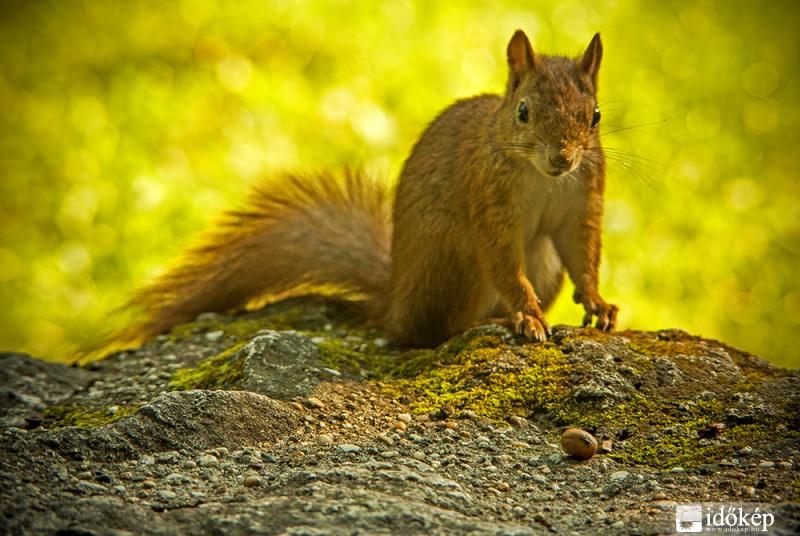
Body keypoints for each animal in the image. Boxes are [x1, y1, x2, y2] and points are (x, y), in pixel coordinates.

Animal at [114, 30, 620, 348]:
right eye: (522, 112)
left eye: (595, 116)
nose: (563, 159)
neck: (542, 178)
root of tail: (395, 302)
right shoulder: (488, 201)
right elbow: (503, 261)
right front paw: (528, 315)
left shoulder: (582, 203)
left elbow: (582, 255)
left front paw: (598, 303)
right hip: (452, 259)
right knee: (432, 331)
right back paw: (486, 321)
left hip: (543, 264)